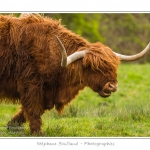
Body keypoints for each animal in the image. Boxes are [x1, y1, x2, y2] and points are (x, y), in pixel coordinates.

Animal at [0, 14, 149, 135]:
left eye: (114, 67)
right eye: (93, 67)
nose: (112, 86)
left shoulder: (47, 92)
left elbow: (34, 109)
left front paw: (12, 125)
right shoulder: (31, 85)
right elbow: (33, 109)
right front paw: (37, 132)